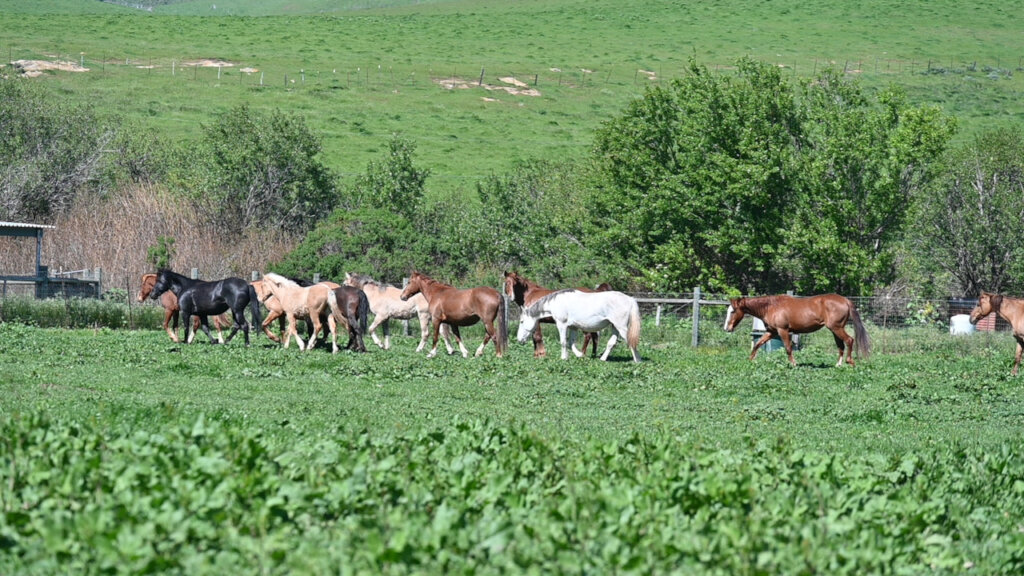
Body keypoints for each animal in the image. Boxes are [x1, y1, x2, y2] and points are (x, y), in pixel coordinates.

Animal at [720, 293, 872, 364]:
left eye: (732, 311)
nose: (727, 328)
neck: (771, 306)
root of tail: (845, 300)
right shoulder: (772, 332)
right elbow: (758, 344)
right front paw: (751, 360)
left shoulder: (783, 331)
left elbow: (788, 348)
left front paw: (794, 364)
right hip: (834, 329)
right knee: (841, 345)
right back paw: (838, 364)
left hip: (836, 328)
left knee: (849, 340)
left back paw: (849, 361)